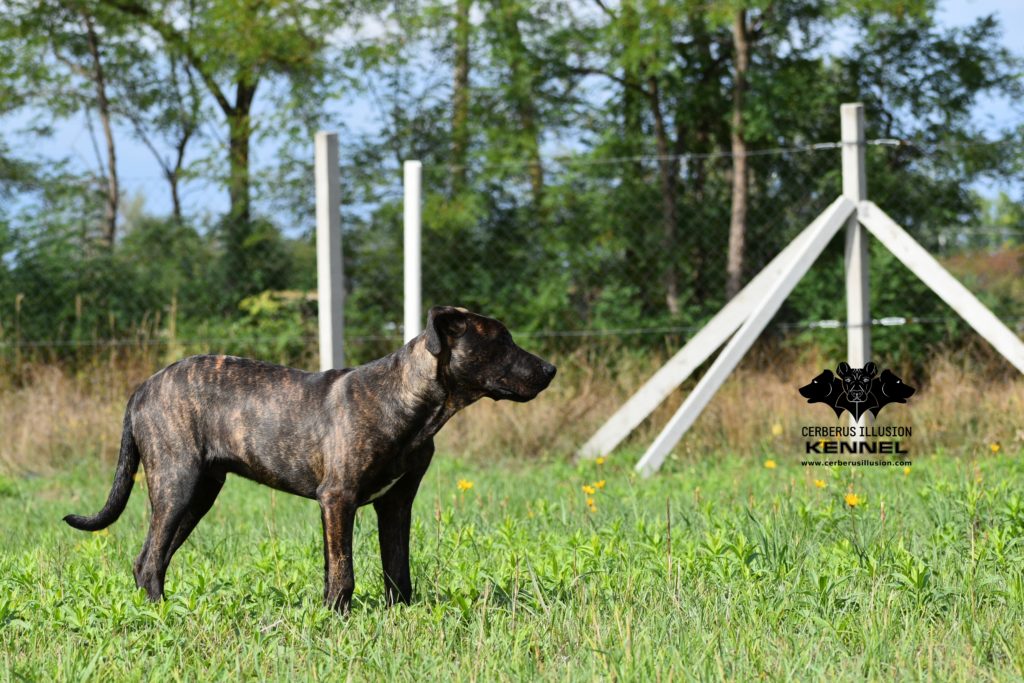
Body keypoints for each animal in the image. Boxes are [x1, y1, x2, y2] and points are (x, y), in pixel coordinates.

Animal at [65, 307, 557, 610]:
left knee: (153, 558)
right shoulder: (338, 499)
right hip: (176, 484)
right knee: (150, 559)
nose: (551, 369)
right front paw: (337, 618)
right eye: (501, 342)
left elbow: (396, 569)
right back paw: (160, 615)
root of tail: (142, 388)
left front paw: (400, 615)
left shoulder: (395, 504)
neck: (408, 400)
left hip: (199, 494)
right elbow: (343, 571)